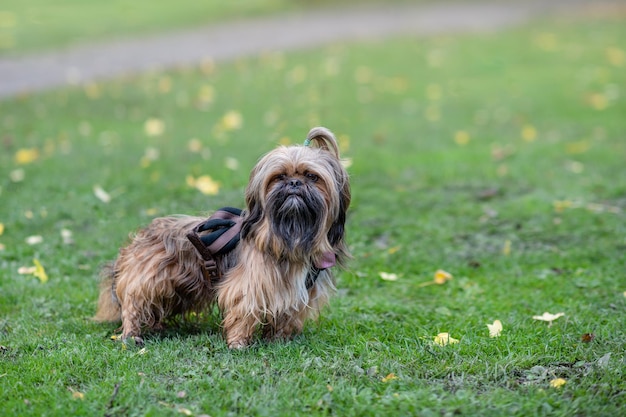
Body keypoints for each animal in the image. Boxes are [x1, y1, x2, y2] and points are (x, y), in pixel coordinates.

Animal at [93, 127, 348, 348]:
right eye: (279, 177)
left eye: (312, 176)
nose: (294, 182)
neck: (292, 234)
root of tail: (135, 243)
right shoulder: (249, 285)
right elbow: (242, 311)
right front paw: (238, 343)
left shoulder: (294, 292)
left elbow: (286, 315)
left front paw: (279, 339)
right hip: (148, 281)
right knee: (134, 306)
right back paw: (132, 335)